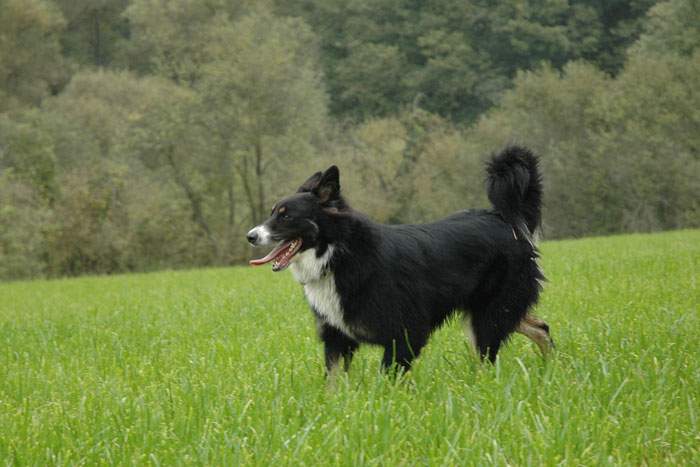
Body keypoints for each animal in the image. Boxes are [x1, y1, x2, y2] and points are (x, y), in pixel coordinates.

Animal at [249, 146, 556, 376]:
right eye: (273, 212)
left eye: (286, 216)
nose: (250, 236)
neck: (338, 254)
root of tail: (506, 220)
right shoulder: (337, 335)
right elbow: (333, 382)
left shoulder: (406, 333)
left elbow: (389, 376)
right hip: (489, 310)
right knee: (540, 327)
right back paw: (548, 369)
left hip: (489, 313)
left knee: (491, 355)